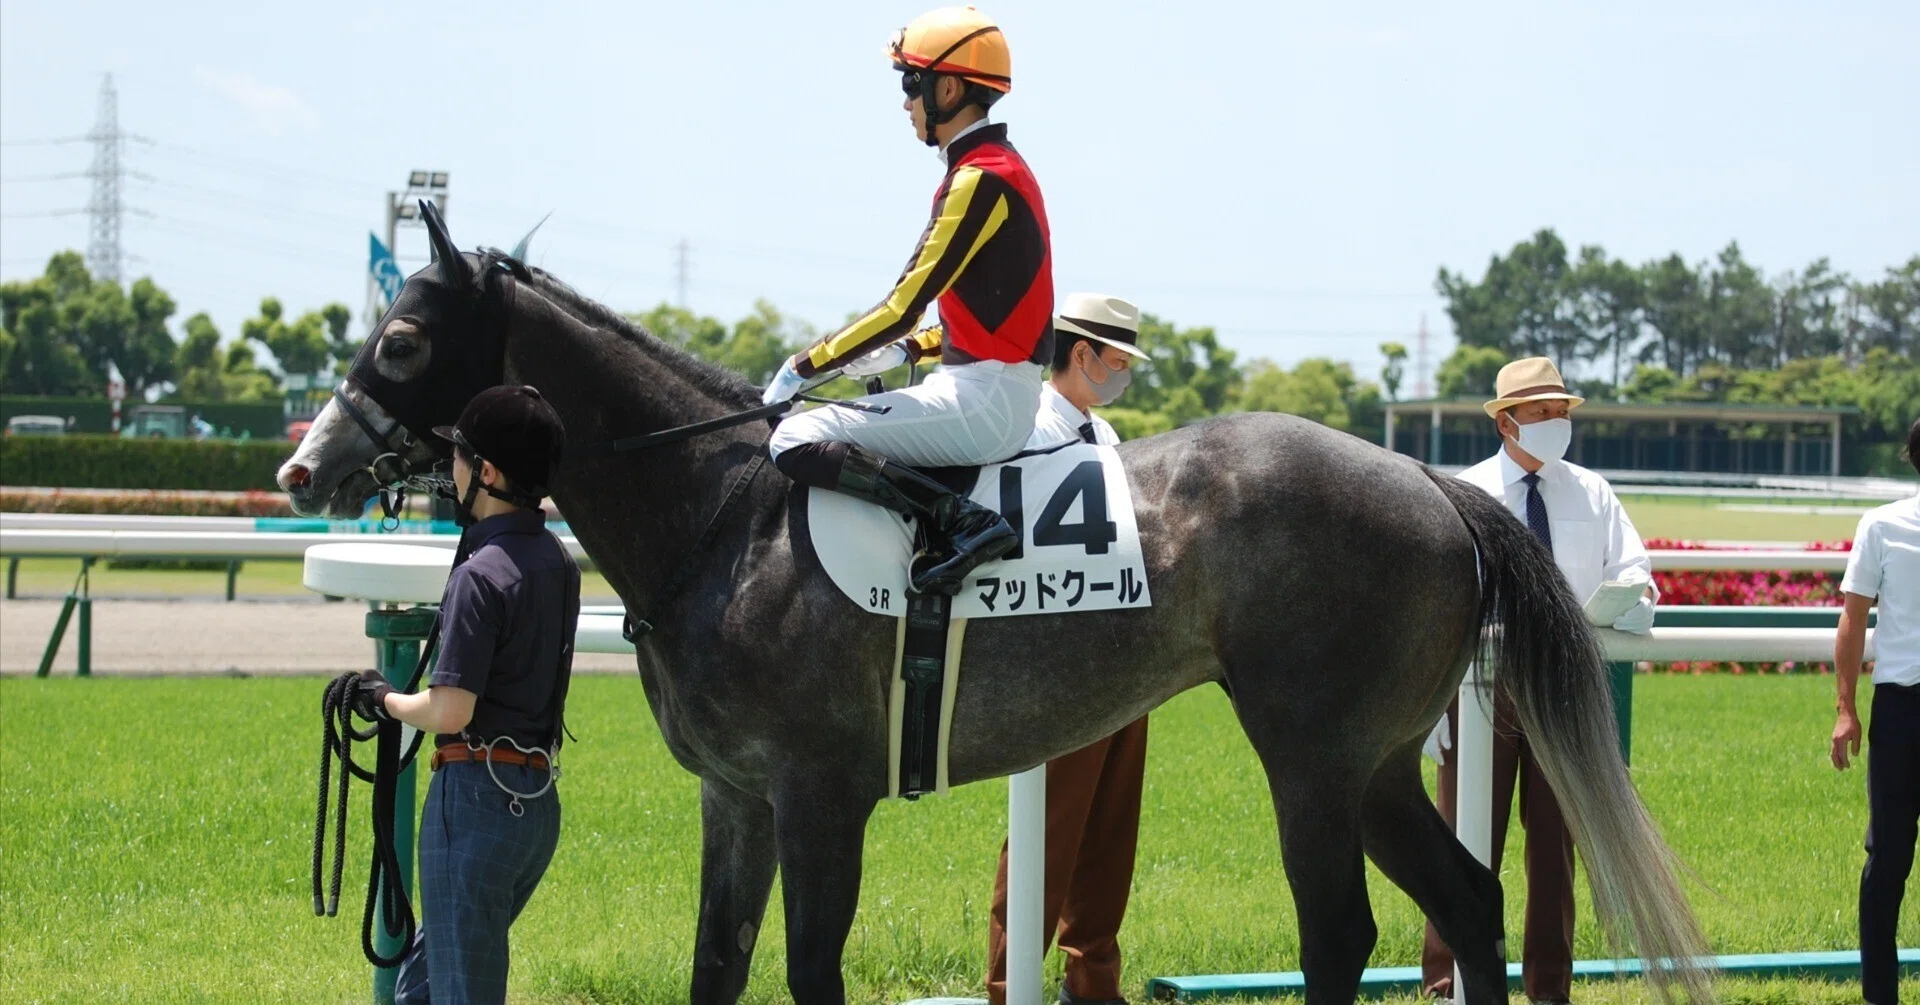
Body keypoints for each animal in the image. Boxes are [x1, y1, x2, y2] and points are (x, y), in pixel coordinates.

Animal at [278, 205, 1712, 1005]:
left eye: (400, 339)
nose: (304, 466)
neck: (728, 515)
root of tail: (1430, 479)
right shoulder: (734, 798)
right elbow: (716, 967)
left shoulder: (819, 796)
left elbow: (807, 971)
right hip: (1371, 762)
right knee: (1464, 903)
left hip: (1309, 754)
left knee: (1343, 933)